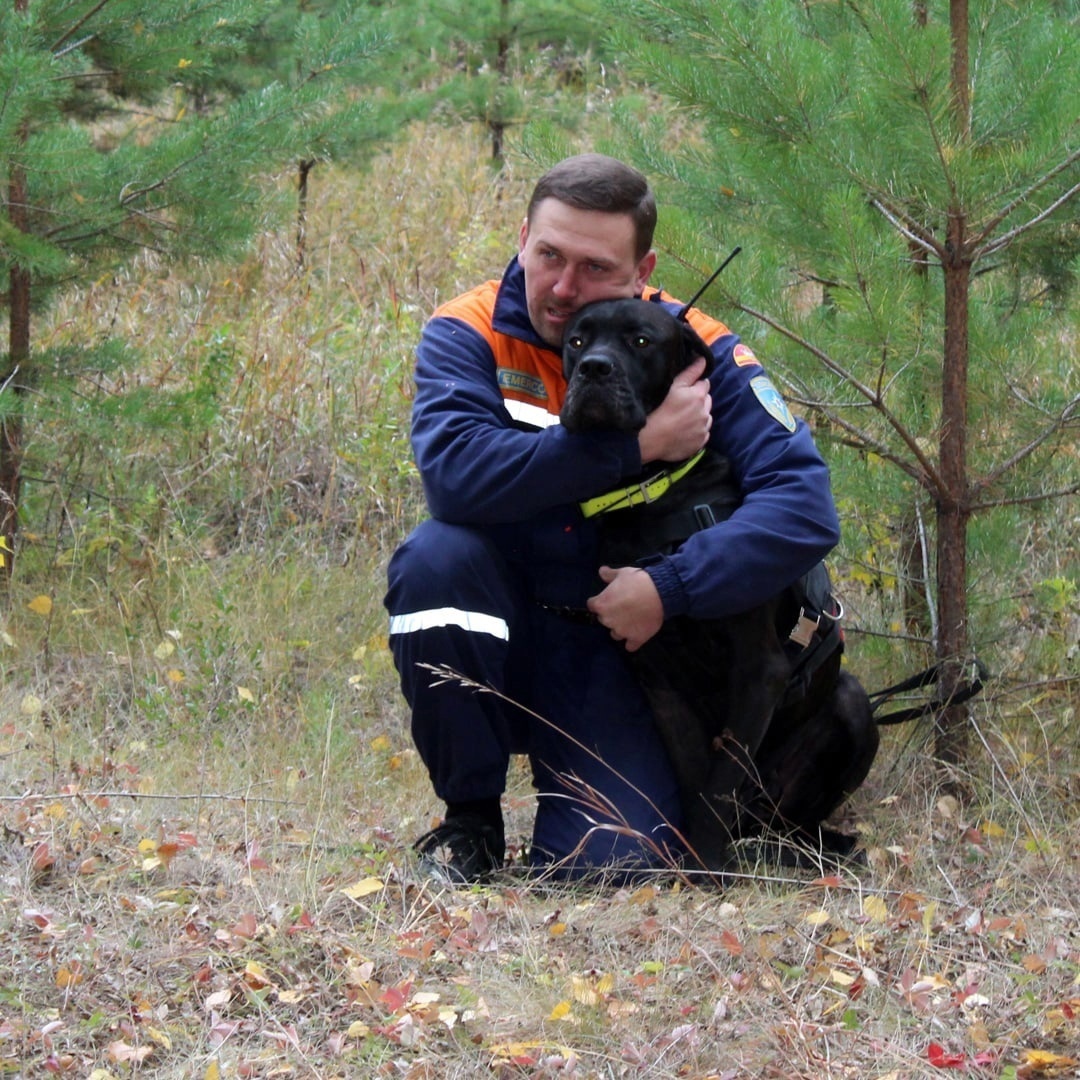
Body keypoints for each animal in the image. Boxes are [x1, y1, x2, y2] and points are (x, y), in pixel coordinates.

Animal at [561, 300, 881, 872]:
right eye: (577, 341)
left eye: (641, 341)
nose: (594, 369)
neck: (652, 492)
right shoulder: (656, 677)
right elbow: (694, 777)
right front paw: (692, 862)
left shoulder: (759, 669)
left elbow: (721, 781)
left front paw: (708, 866)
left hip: (849, 705)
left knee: (790, 821)